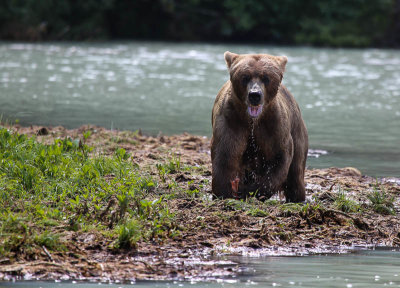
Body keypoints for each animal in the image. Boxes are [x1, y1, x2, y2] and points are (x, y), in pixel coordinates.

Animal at [211, 51, 308, 202]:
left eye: (266, 78)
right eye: (245, 77)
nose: (255, 95)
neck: (253, 122)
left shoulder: (274, 127)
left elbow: (279, 158)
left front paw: (250, 191)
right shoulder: (231, 121)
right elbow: (225, 156)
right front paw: (224, 193)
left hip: (297, 131)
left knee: (296, 174)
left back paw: (297, 198)